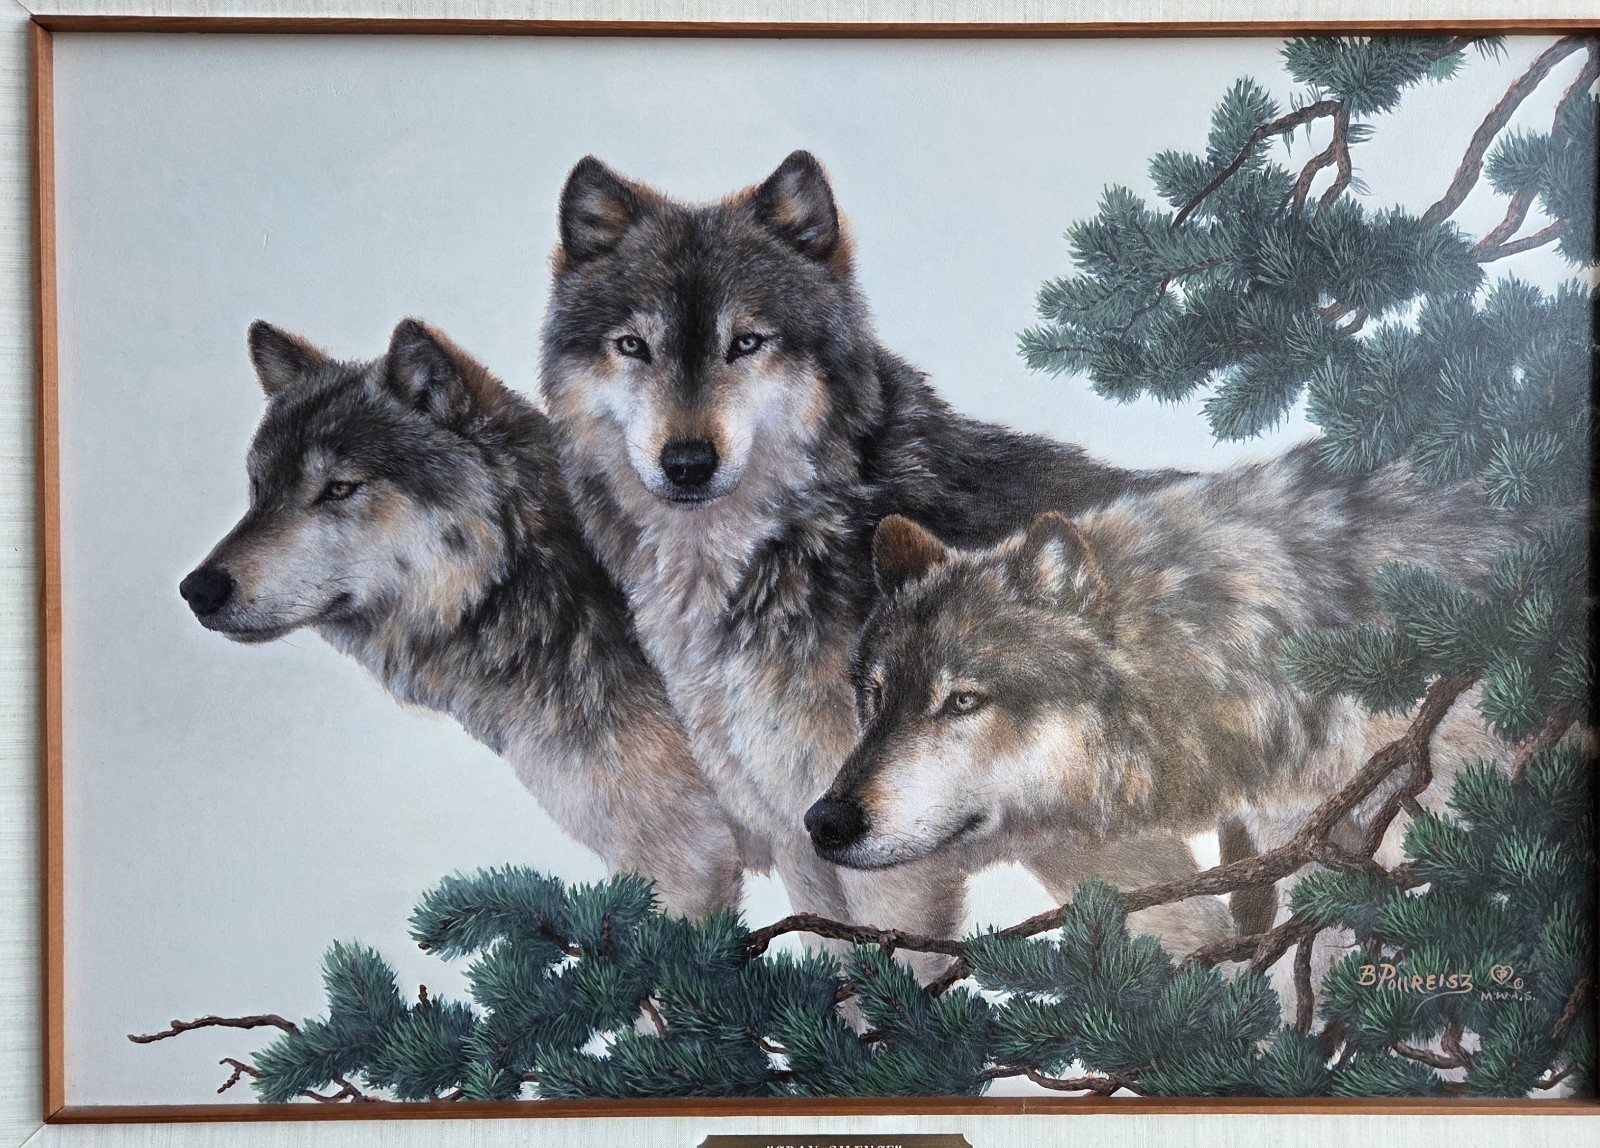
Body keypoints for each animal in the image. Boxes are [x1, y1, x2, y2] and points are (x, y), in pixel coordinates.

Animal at [539, 149, 1224, 949]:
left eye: (746, 343)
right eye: (633, 346)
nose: (687, 463)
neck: (794, 546)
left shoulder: (889, 858)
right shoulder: (801, 836)